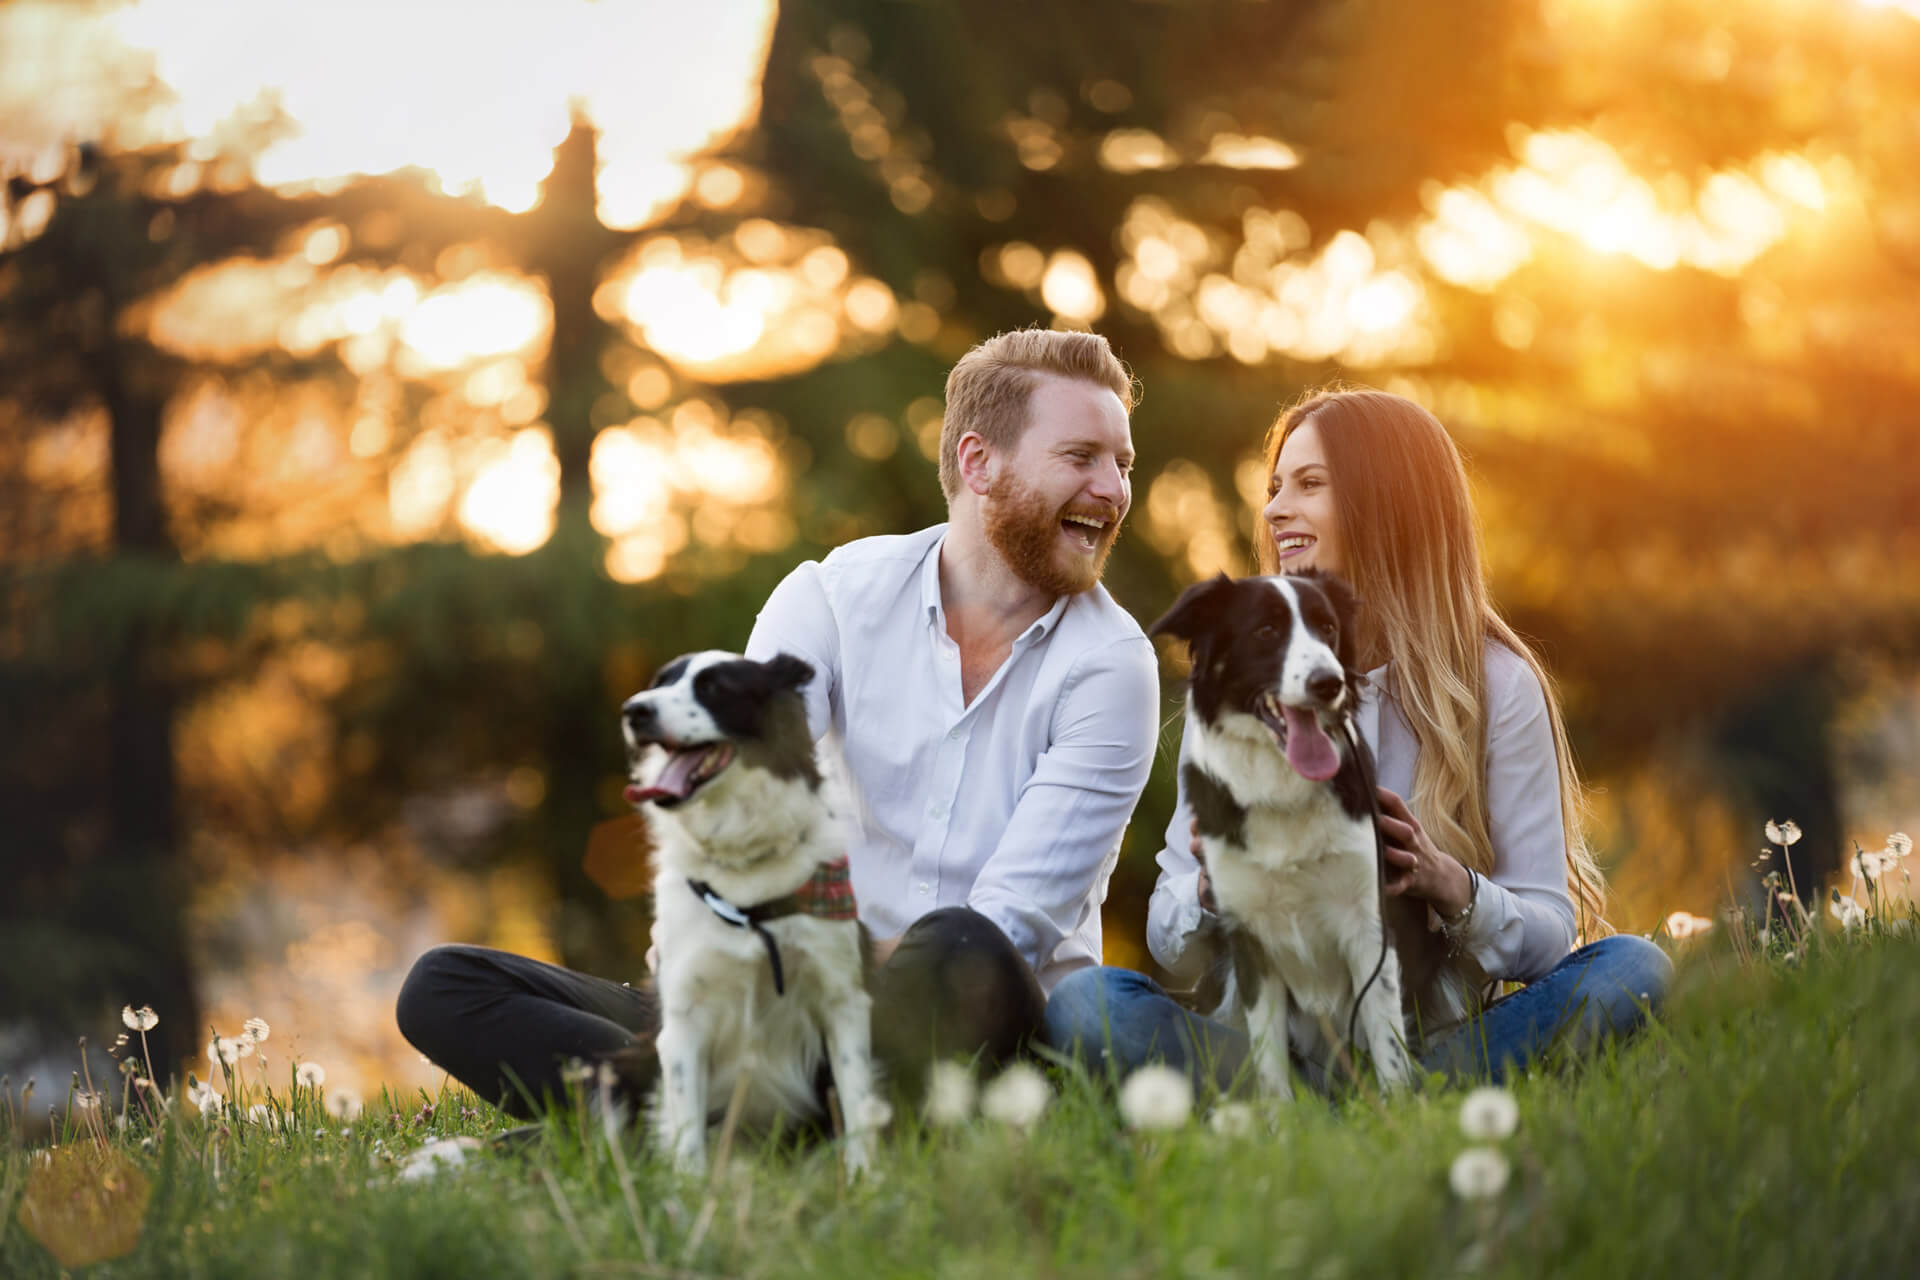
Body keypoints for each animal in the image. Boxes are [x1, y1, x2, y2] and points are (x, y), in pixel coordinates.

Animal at [622, 656, 883, 1174]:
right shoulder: (682, 1018)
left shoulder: (842, 998)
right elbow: (687, 1134)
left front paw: (866, 1179)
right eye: (659, 683)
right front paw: (690, 1189)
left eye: (716, 688)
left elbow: (857, 1098)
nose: (634, 711)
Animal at [1152, 575, 1443, 1097]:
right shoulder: (1248, 937)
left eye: (1327, 628)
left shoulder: (1369, 923)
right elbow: (1269, 1061)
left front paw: (1399, 1109)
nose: (1329, 682)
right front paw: (1278, 1117)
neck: (1282, 785)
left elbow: (1388, 1044)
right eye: (1266, 630)